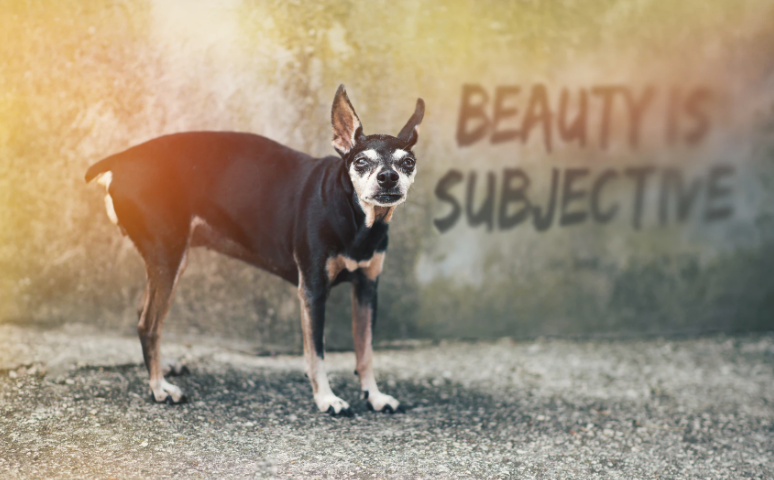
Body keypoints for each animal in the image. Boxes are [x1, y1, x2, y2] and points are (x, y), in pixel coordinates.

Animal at [86, 84, 424, 414]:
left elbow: (365, 350)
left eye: (408, 162)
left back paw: (162, 369)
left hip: (169, 262)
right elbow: (317, 352)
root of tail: (118, 161)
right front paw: (326, 399)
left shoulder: (367, 288)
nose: (388, 177)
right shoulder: (313, 291)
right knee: (148, 325)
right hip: (168, 258)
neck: (354, 215)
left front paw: (374, 396)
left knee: (144, 314)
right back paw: (159, 388)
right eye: (361, 161)